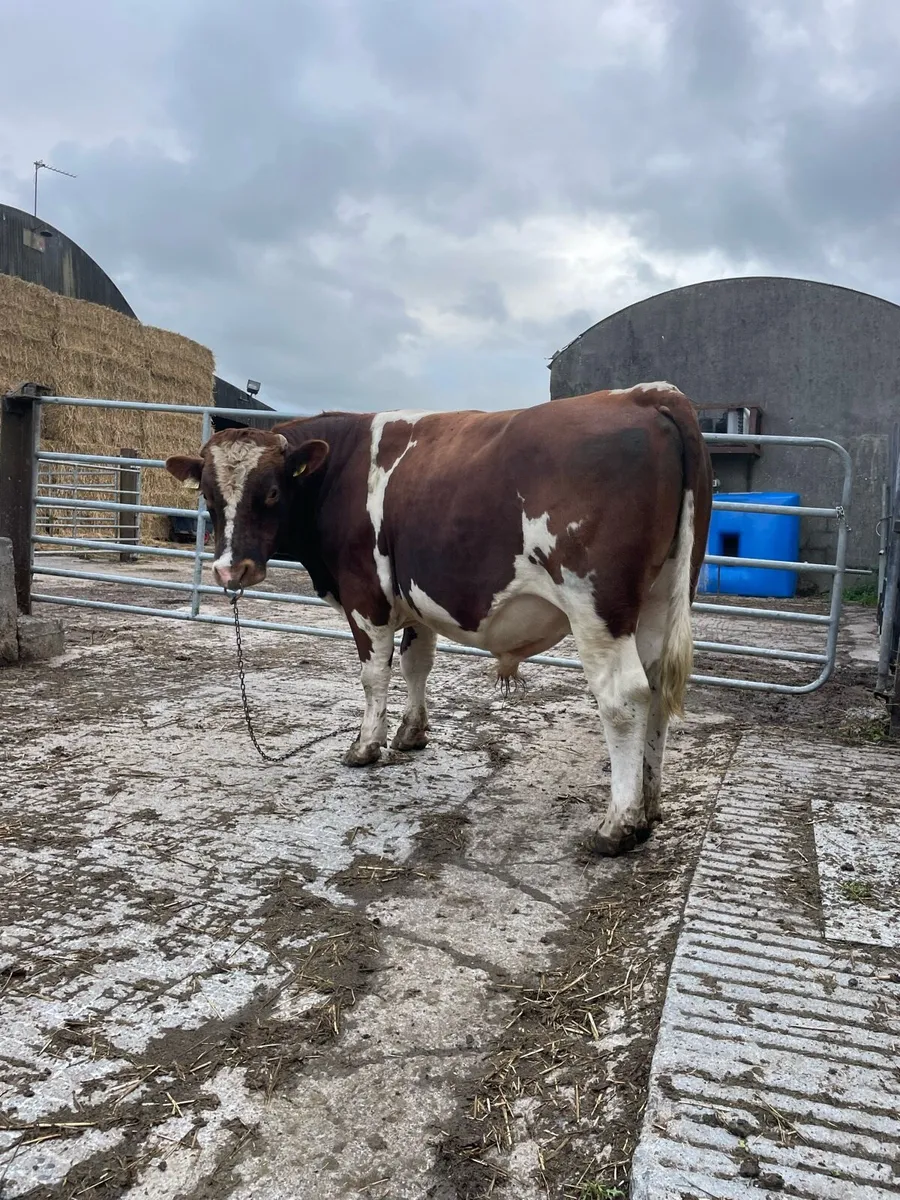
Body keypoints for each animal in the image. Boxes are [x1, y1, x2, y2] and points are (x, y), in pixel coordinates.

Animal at [165, 384, 712, 856]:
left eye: (273, 492)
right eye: (208, 496)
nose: (230, 569)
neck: (339, 470)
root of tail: (646, 394)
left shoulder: (366, 594)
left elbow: (373, 675)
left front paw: (366, 746)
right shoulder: (414, 595)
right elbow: (417, 664)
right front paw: (412, 733)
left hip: (597, 606)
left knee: (623, 698)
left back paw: (618, 824)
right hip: (661, 599)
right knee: (657, 687)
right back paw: (650, 806)